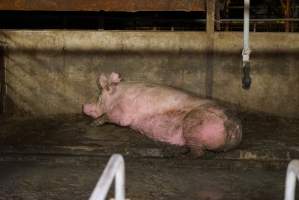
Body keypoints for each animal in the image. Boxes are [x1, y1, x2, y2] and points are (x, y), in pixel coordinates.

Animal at [83, 72, 243, 156]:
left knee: (198, 152)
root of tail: (231, 124)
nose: (84, 105)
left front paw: (93, 124)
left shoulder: (122, 112)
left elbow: (111, 117)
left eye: (99, 97)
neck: (117, 96)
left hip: (194, 122)